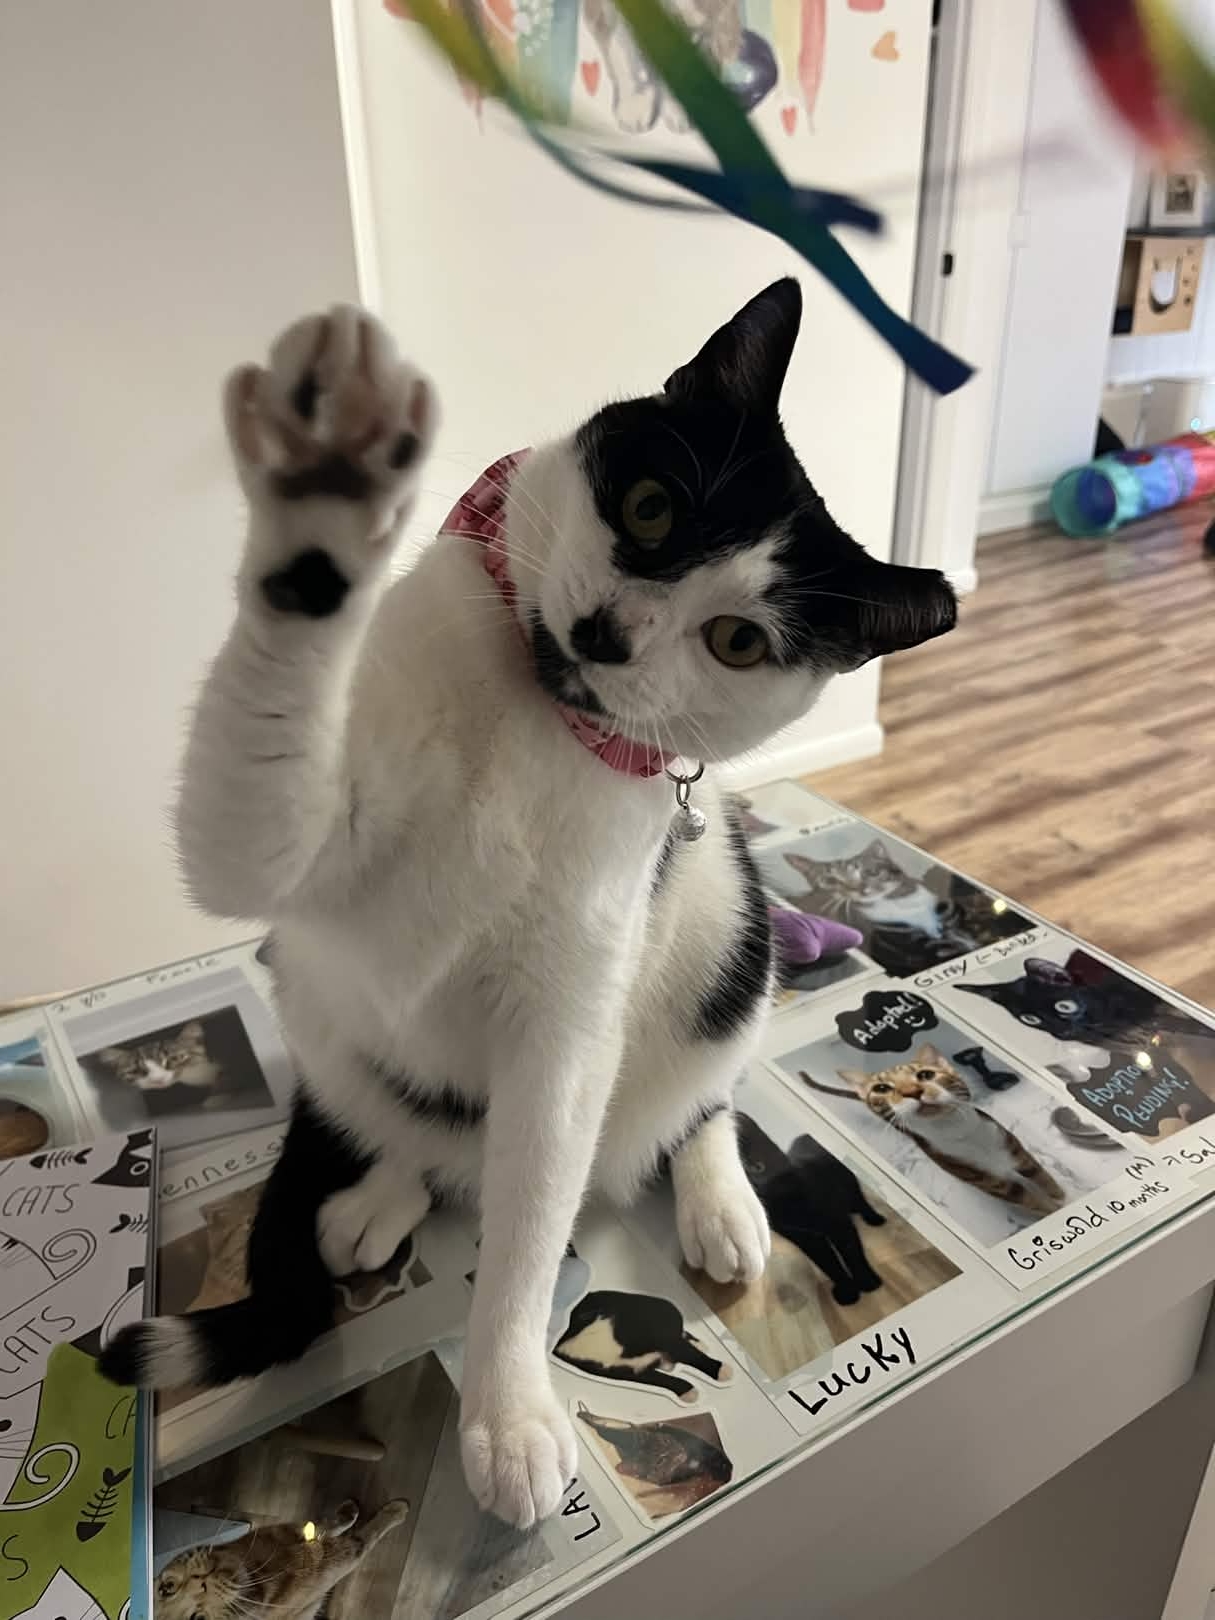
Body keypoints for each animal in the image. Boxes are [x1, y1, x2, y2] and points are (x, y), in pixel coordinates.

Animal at [155, 1499, 407, 1620]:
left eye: (167, 1587)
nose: (201, 1582)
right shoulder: (340, 1558)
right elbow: (365, 1538)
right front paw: (396, 1512)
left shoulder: (291, 1531)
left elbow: (320, 1525)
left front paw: (345, 1514)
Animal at [552, 1288, 730, 1401]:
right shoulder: (629, 1371)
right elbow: (661, 1379)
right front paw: (688, 1391)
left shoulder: (662, 1335)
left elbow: (688, 1353)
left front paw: (722, 1371)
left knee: (682, 1338)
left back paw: (698, 1344)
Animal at [735, 1114, 884, 1305]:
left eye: (758, 1166)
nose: (752, 1185)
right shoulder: (806, 1238)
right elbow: (827, 1261)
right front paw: (848, 1291)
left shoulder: (838, 1223)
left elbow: (852, 1252)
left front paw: (868, 1281)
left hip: (849, 1184)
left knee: (860, 1202)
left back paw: (874, 1218)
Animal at [817, 1044, 1068, 1217]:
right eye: (881, 1088)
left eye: (926, 1074)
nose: (912, 1091)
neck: (955, 1130)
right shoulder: (982, 1178)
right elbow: (1028, 1199)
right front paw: (1053, 1210)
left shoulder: (1006, 1141)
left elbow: (1037, 1173)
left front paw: (1061, 1197)